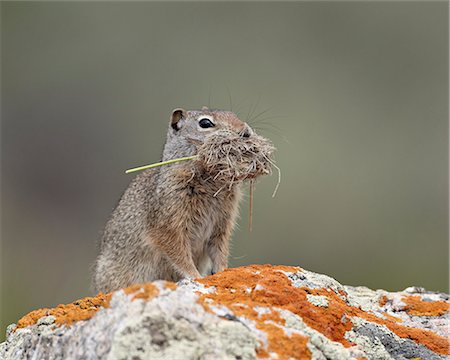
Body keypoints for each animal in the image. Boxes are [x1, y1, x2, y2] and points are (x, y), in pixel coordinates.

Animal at [92, 106, 274, 292]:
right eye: (205, 123)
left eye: (233, 114)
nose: (245, 132)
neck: (210, 180)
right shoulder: (168, 226)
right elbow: (180, 255)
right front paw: (195, 276)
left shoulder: (222, 225)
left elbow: (219, 251)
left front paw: (223, 271)